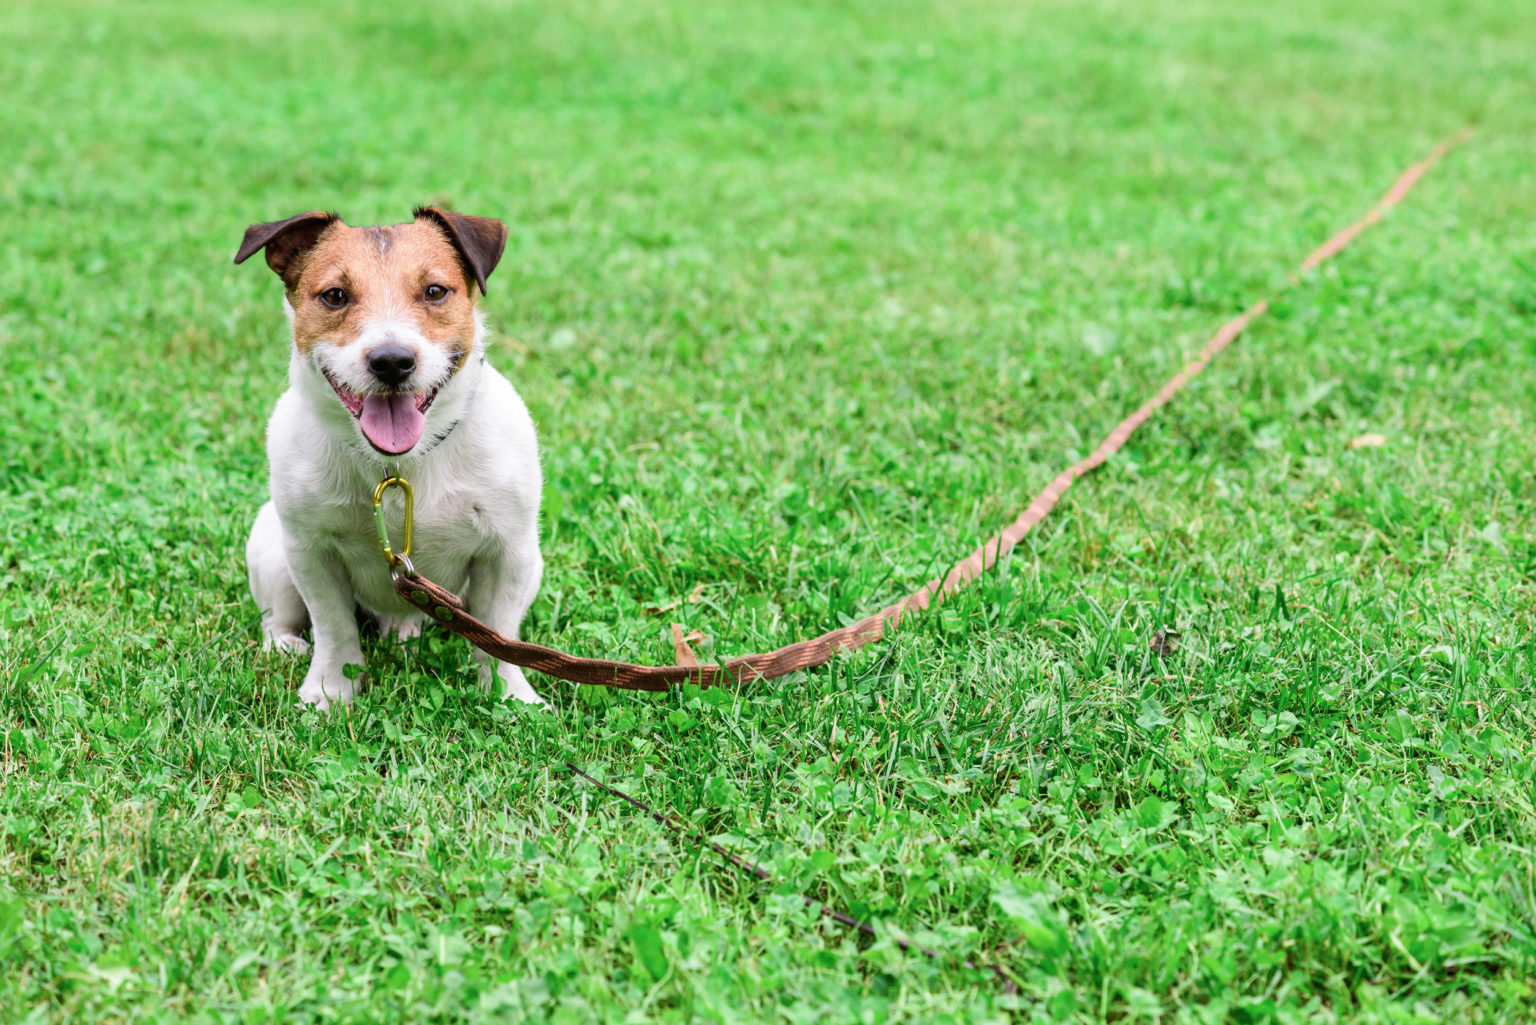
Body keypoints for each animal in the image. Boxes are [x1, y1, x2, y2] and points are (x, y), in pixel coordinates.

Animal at [236, 205, 549, 706]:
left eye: (435, 291)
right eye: (335, 296)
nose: (391, 361)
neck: (399, 465)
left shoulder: (508, 553)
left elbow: (500, 637)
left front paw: (510, 697)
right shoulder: (313, 554)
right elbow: (335, 629)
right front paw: (330, 689)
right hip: (273, 550)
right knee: (277, 617)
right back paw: (285, 644)